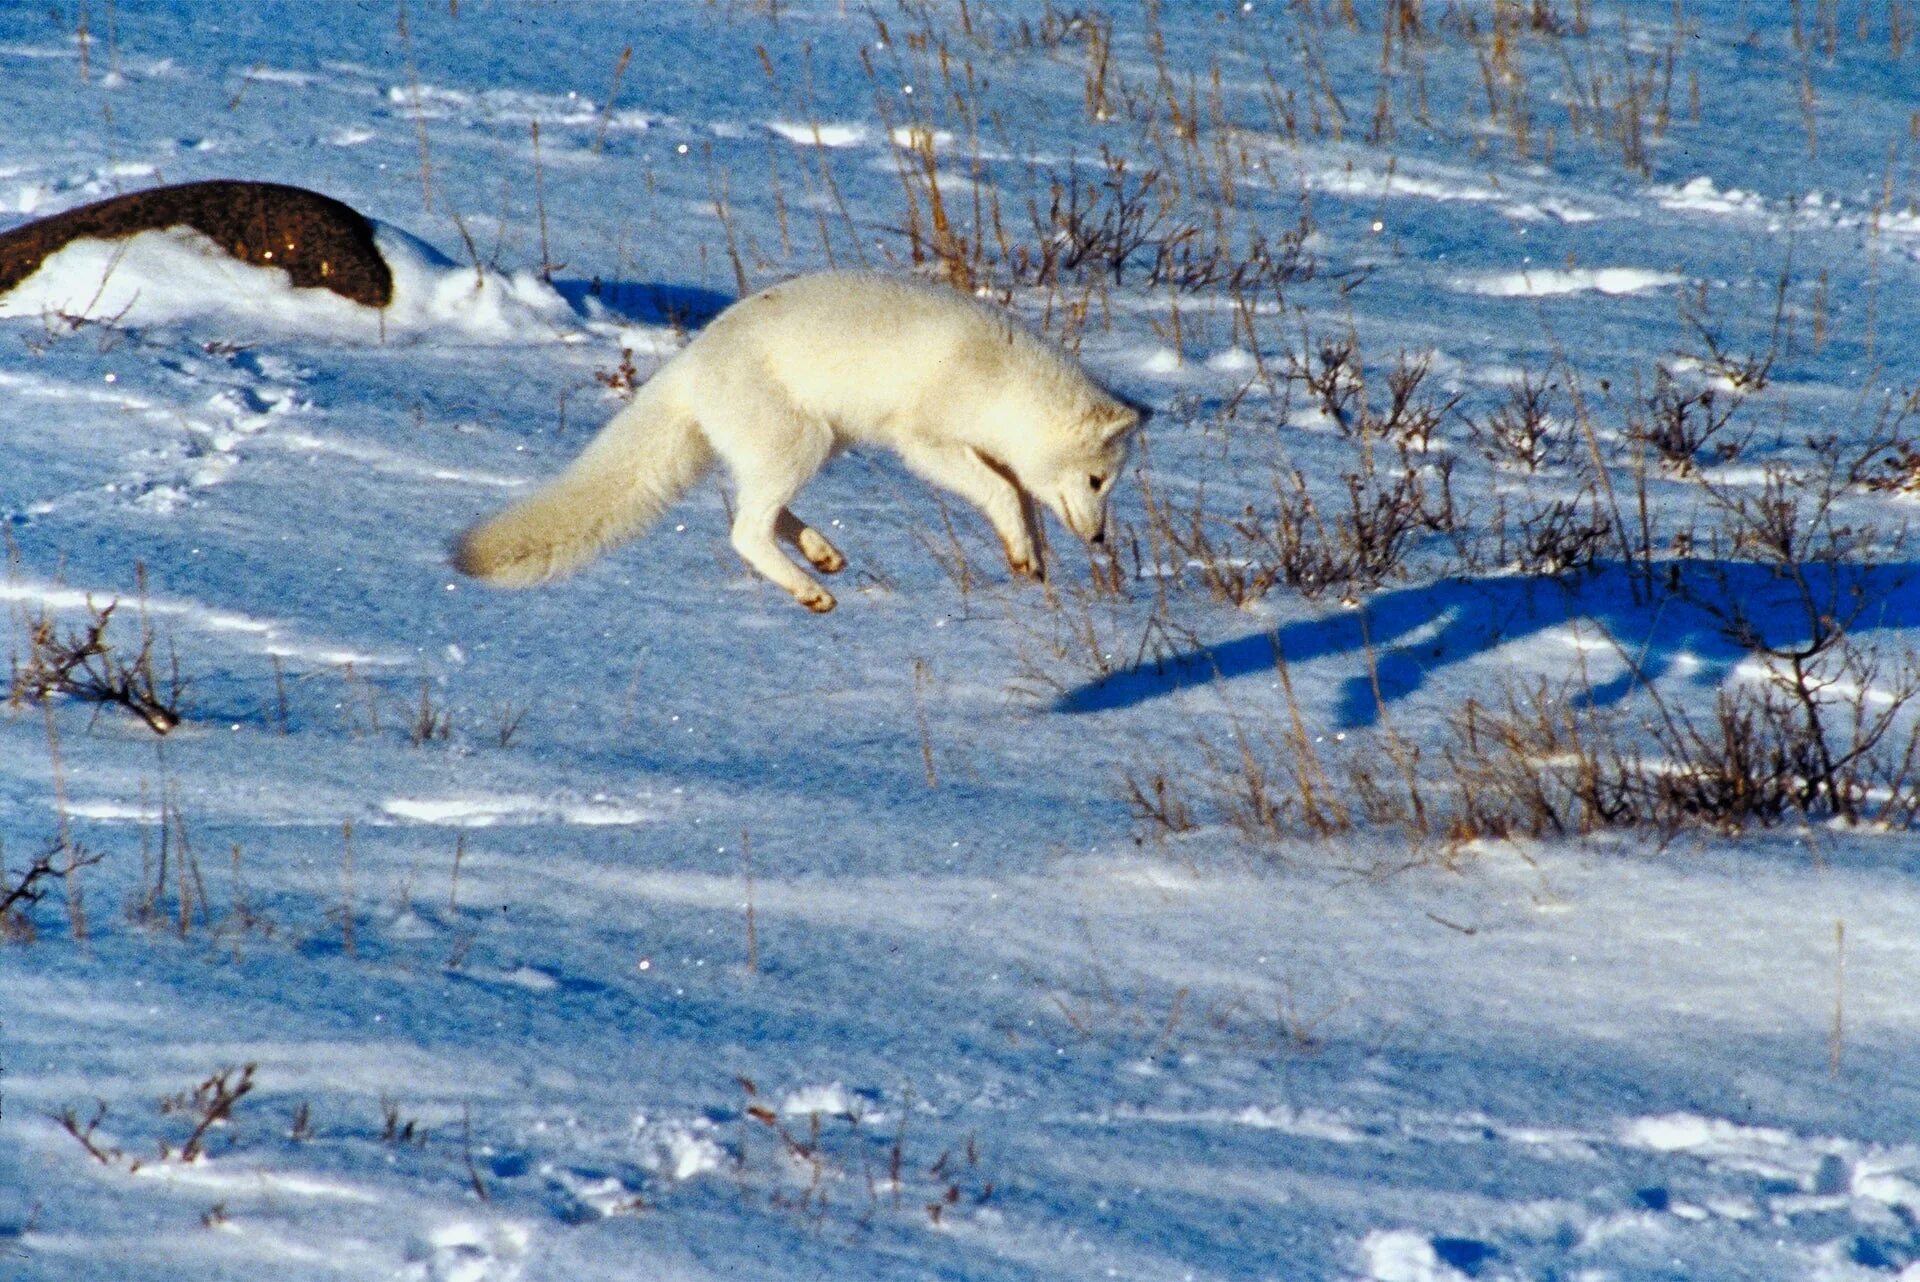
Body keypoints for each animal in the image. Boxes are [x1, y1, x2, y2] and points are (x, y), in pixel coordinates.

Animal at [449, 268, 1136, 614]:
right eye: (1097, 480)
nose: (1101, 540)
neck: (1003, 384)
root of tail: (690, 362)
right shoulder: (923, 441)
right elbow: (998, 491)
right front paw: (1025, 552)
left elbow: (1020, 503)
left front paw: (1030, 559)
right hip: (802, 444)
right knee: (744, 530)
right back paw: (812, 588)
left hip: (811, 446)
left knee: (761, 511)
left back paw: (821, 553)